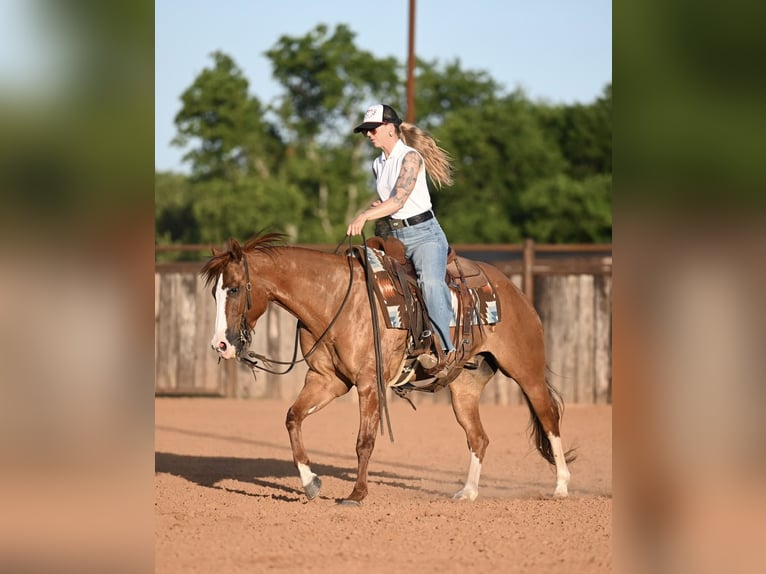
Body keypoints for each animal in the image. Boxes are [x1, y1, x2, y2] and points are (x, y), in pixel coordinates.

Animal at [201, 232, 574, 505]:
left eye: (234, 288)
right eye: (215, 293)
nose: (219, 344)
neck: (336, 300)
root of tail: (514, 292)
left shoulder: (368, 382)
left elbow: (364, 441)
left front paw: (356, 494)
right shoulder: (327, 381)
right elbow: (293, 418)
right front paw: (310, 483)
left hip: (527, 371)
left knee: (549, 419)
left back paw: (561, 487)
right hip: (464, 388)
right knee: (478, 438)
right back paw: (467, 492)